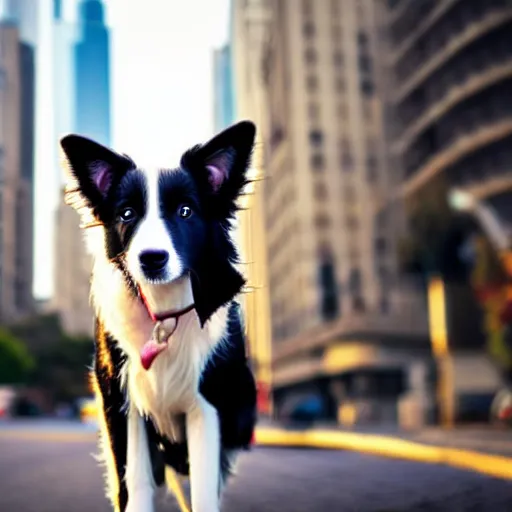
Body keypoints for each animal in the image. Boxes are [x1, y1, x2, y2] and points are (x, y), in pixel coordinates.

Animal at [59, 121, 258, 512]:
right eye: (127, 214)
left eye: (185, 211)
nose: (152, 258)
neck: (164, 316)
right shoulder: (121, 398)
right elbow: (133, 482)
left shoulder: (207, 404)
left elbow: (204, 489)